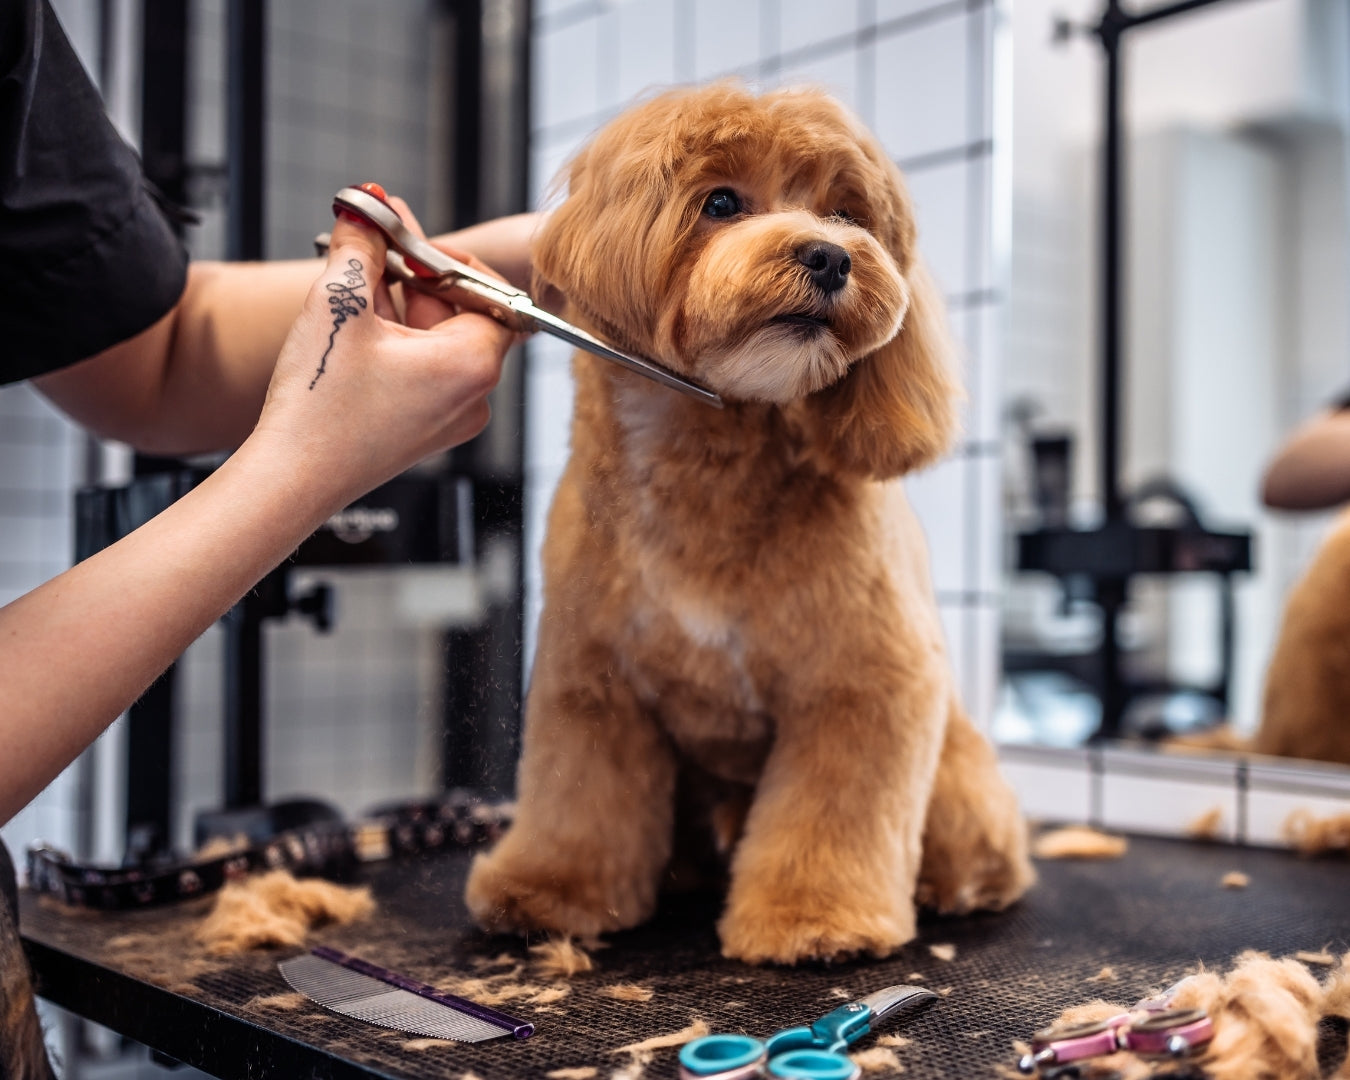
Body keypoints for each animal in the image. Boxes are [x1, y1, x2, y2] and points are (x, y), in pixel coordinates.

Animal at [464, 84, 1031, 961]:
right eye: (722, 203)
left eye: (846, 212)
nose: (831, 257)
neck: (708, 467)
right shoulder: (591, 682)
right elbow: (578, 799)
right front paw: (550, 890)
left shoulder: (864, 682)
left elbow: (832, 812)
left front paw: (814, 918)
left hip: (958, 781)